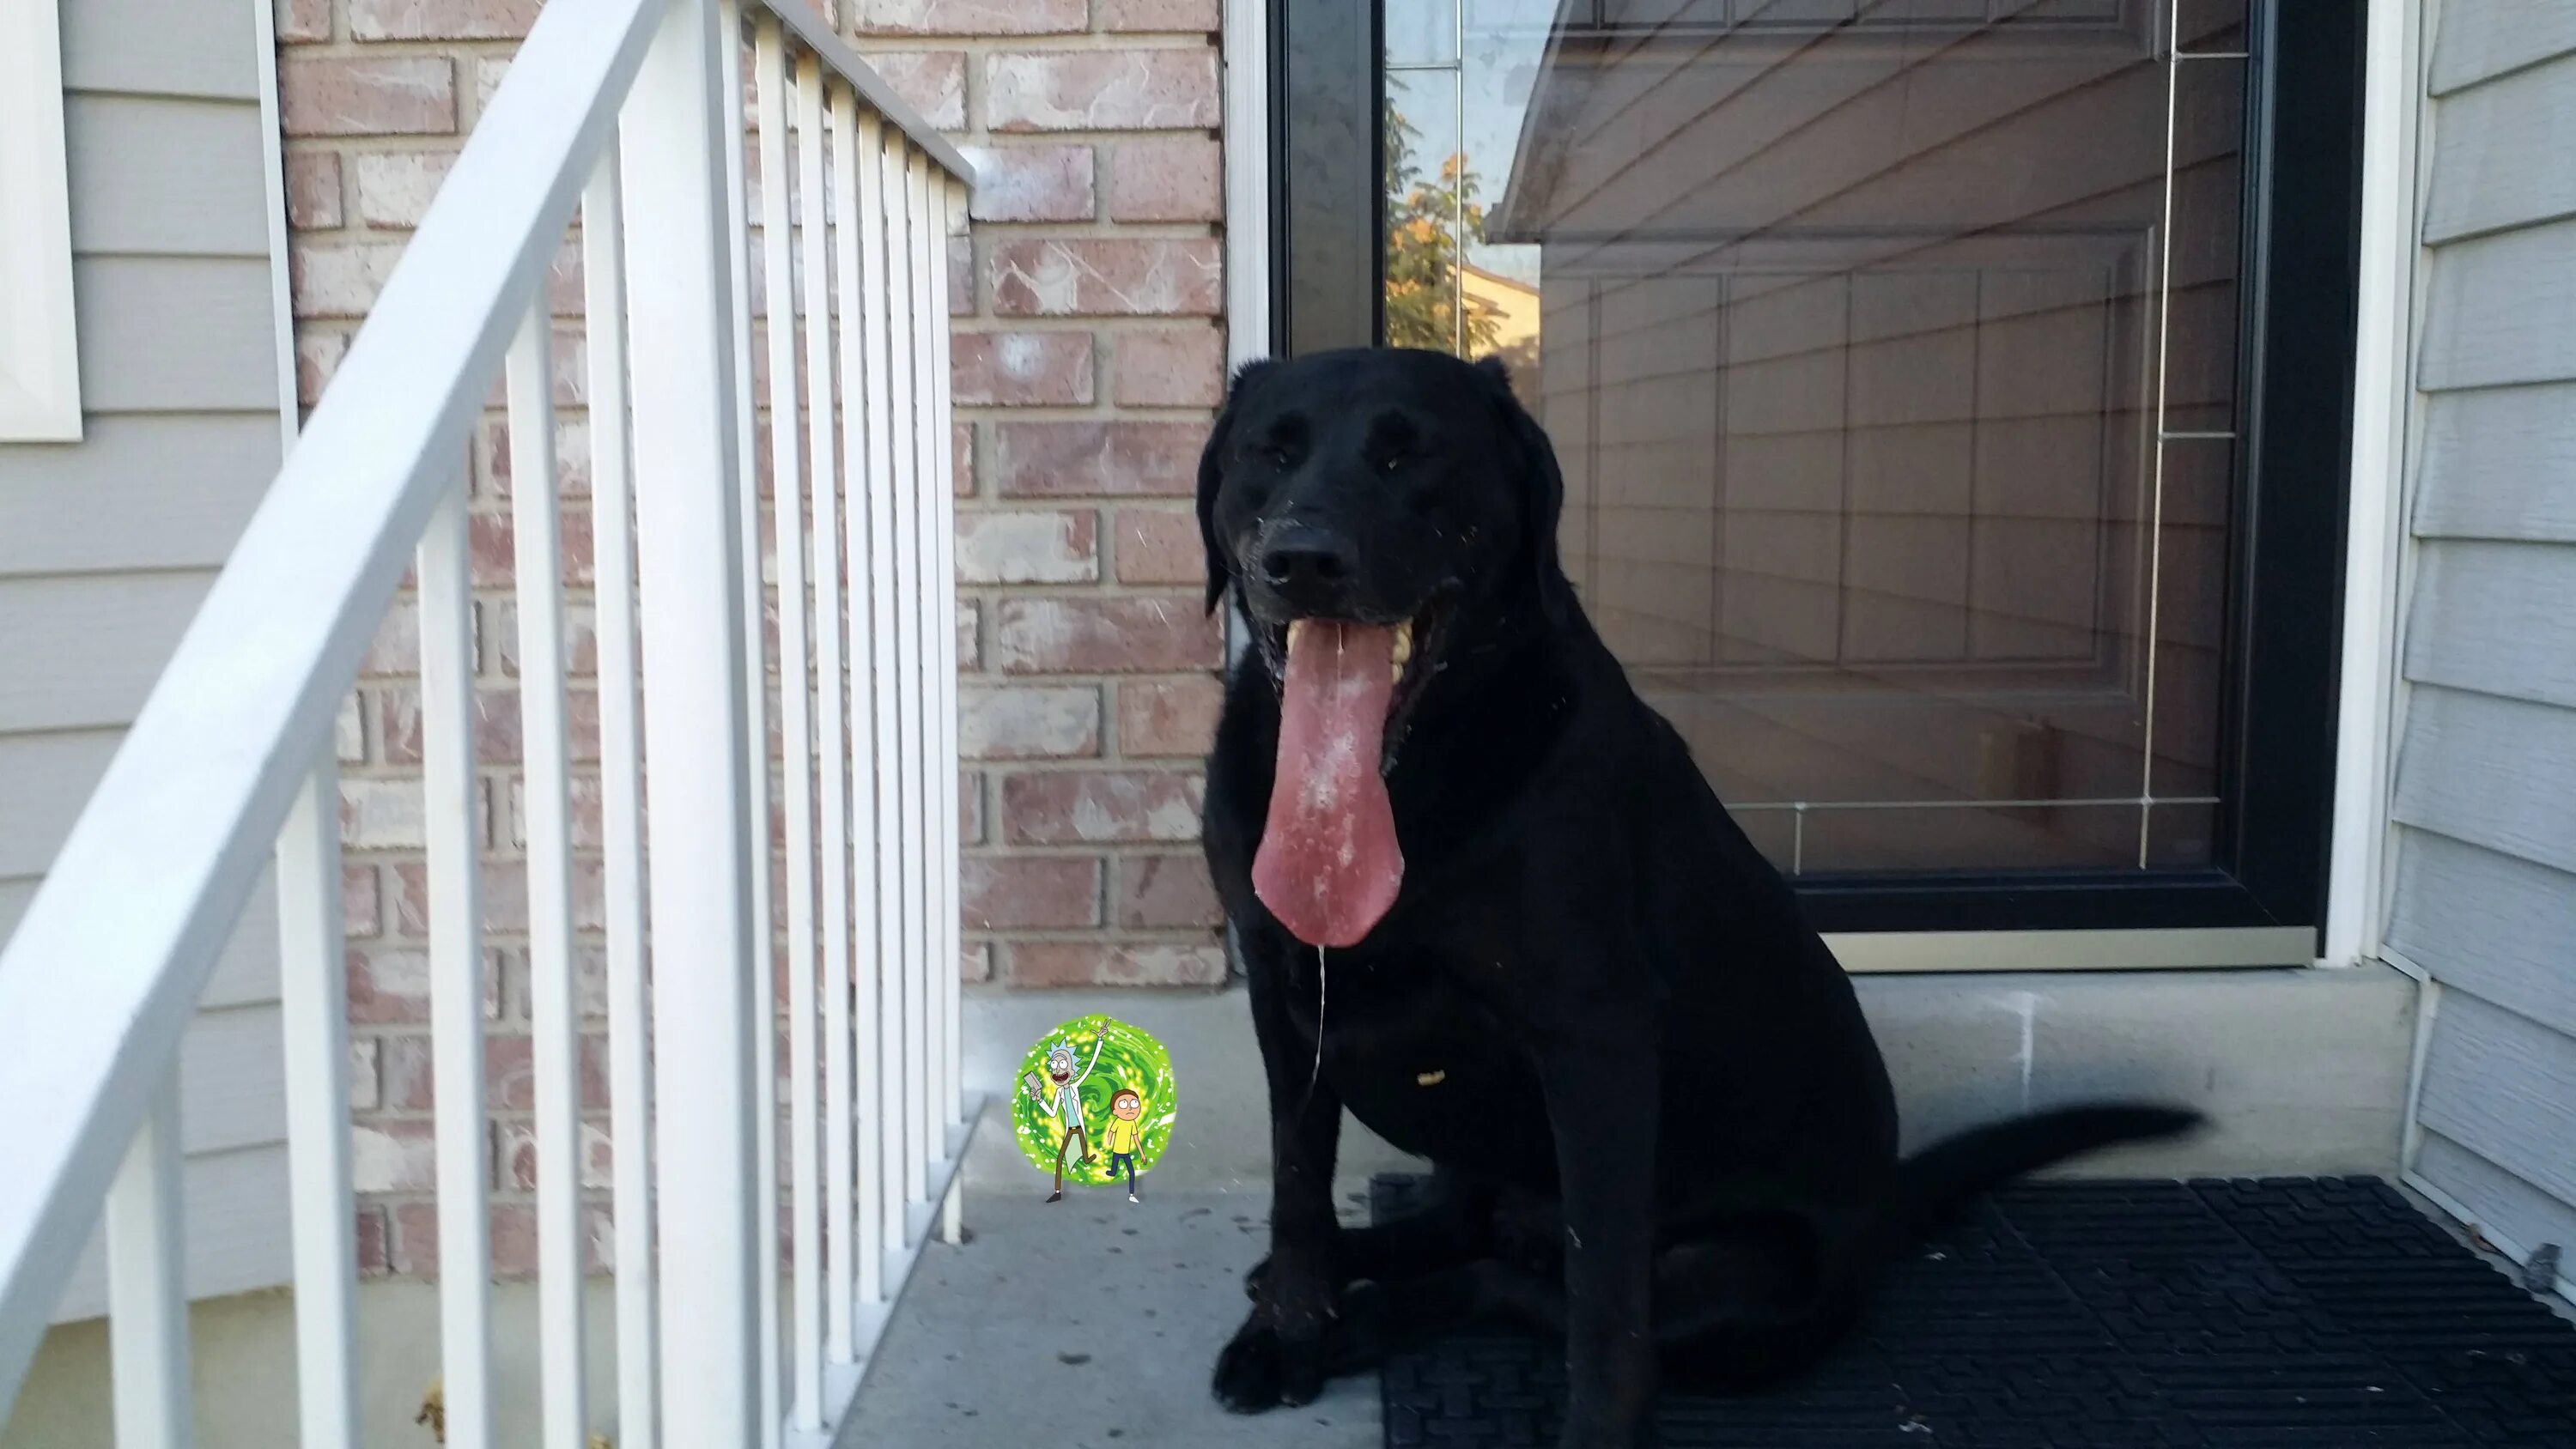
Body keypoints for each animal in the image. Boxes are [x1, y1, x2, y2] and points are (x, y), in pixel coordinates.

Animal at [1190, 352, 2195, 1449]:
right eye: (1269, 452)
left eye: (1409, 453)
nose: (1300, 557)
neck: (1396, 789)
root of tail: (1884, 1209)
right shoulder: (1285, 997)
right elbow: (1298, 1186)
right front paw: (1290, 1325)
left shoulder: (1597, 1038)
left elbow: (1605, 1299)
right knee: (1459, 1226)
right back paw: (1355, 1271)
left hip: (1735, 1280)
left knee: (1518, 1279)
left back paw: (1377, 1308)